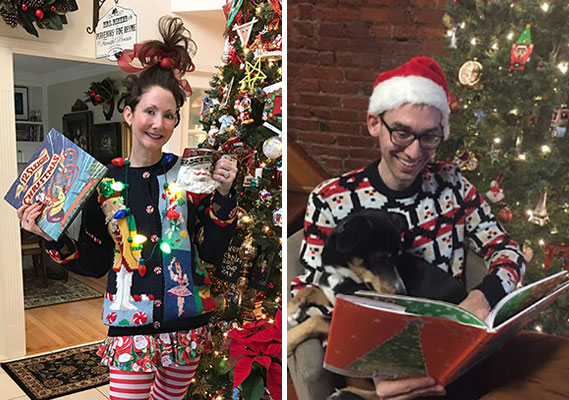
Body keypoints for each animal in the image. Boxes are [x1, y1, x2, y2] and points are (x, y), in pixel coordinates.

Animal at [288, 211, 466, 398]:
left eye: (398, 257)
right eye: (382, 258)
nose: (403, 292)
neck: (343, 275)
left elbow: (317, 319)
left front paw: (287, 341)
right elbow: (310, 289)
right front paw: (292, 309)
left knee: (378, 394)